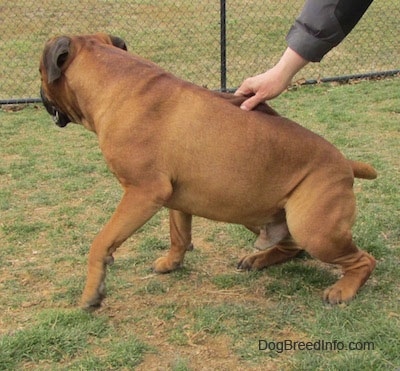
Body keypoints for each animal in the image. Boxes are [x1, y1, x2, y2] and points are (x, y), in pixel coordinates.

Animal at [39, 33, 376, 310]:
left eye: (39, 73)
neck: (116, 81)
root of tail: (345, 163)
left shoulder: (142, 193)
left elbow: (100, 242)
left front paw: (92, 293)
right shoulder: (174, 197)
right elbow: (178, 234)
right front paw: (172, 263)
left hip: (315, 230)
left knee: (363, 260)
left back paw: (343, 289)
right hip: (257, 212)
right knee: (292, 247)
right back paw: (259, 259)